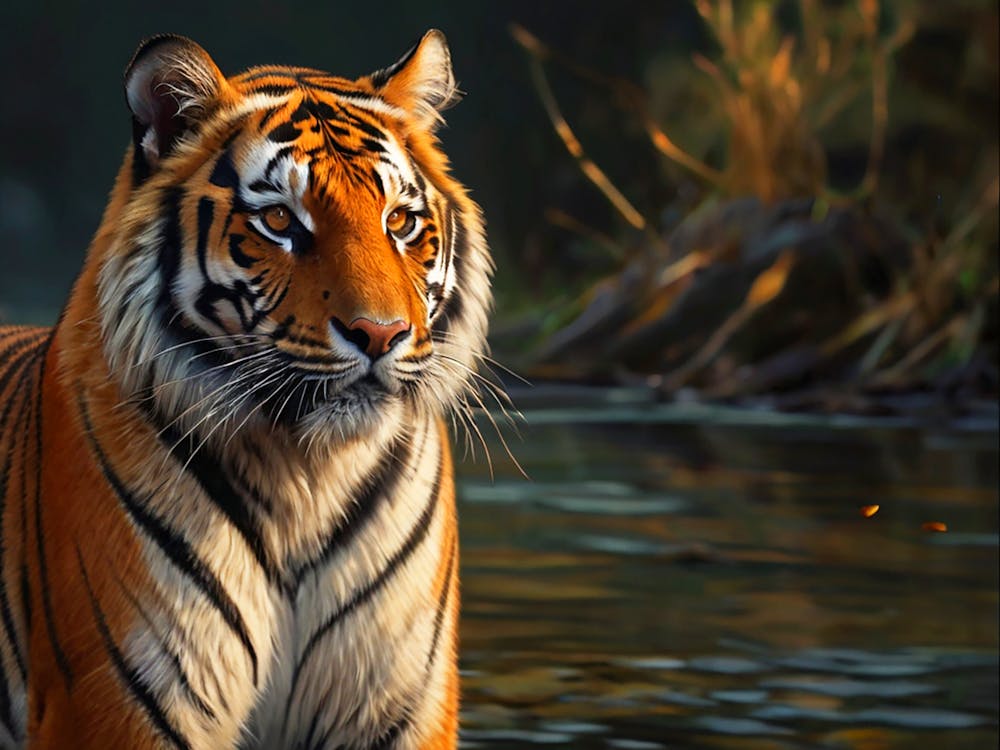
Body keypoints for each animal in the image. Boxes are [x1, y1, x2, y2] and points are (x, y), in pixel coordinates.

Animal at [0, 29, 491, 750]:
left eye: (399, 221)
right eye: (281, 221)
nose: (380, 334)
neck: (306, 475)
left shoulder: (397, 700)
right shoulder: (121, 700)